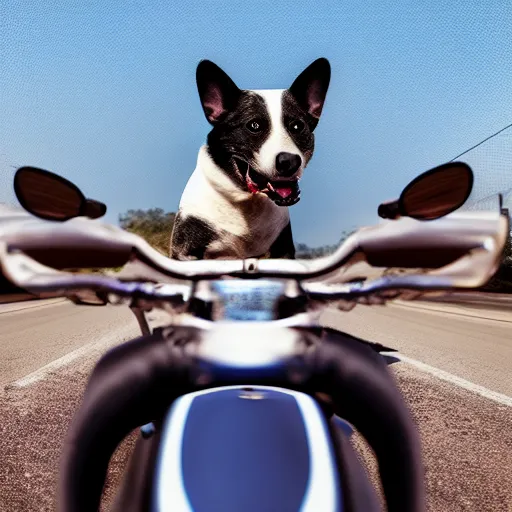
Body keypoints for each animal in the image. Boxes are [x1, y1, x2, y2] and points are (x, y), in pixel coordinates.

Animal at [171, 58, 332, 262]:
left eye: (297, 126)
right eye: (254, 126)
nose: (289, 161)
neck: (245, 201)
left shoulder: (282, 250)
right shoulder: (186, 250)